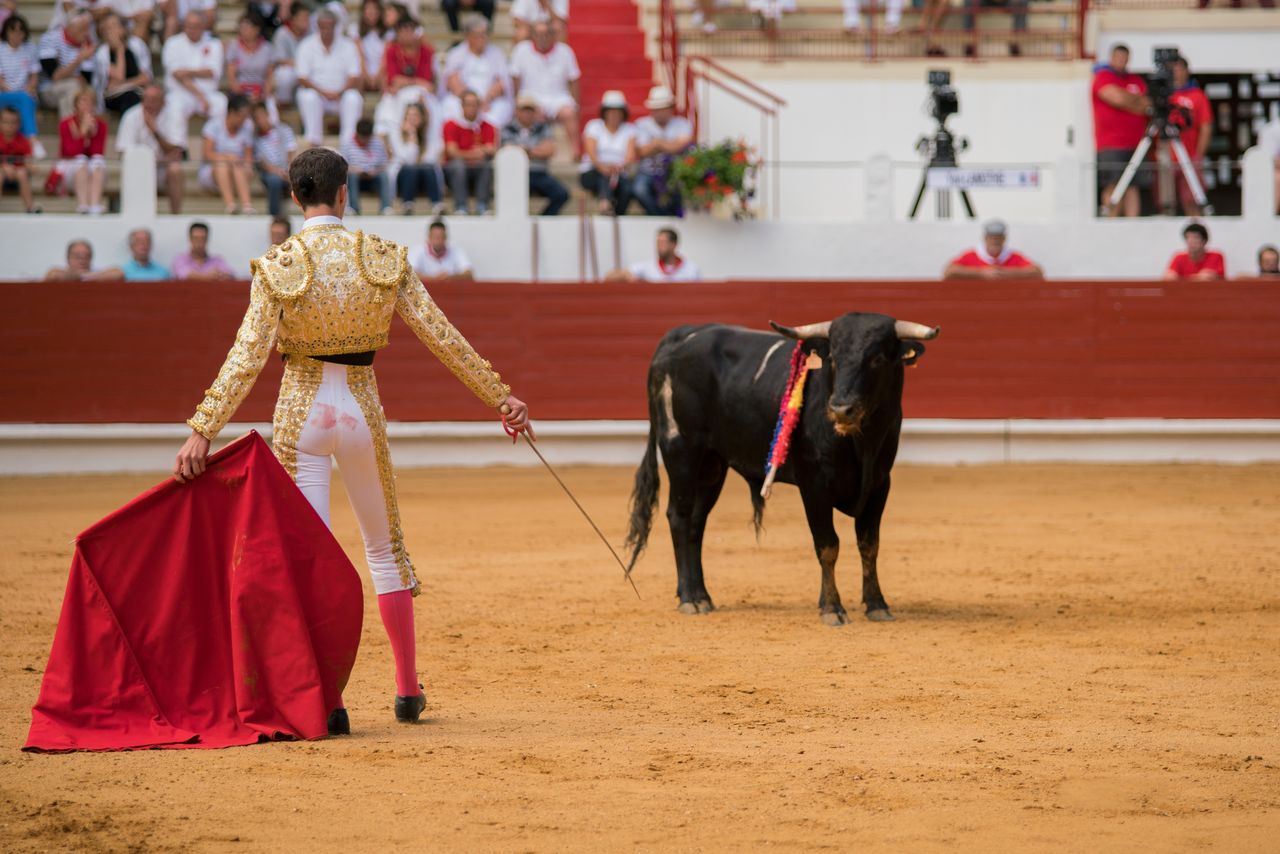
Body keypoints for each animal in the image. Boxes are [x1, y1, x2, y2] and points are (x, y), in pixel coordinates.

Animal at [622, 311, 942, 624]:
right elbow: (828, 545)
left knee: (696, 523)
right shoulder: (814, 485)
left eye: (877, 358)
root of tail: (682, 334)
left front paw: (877, 604)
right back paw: (689, 599)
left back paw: (702, 596)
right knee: (679, 516)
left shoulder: (879, 484)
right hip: (681, 450)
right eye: (833, 358)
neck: (861, 444)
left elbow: (869, 545)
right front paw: (832, 608)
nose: (840, 409)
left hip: (712, 466)